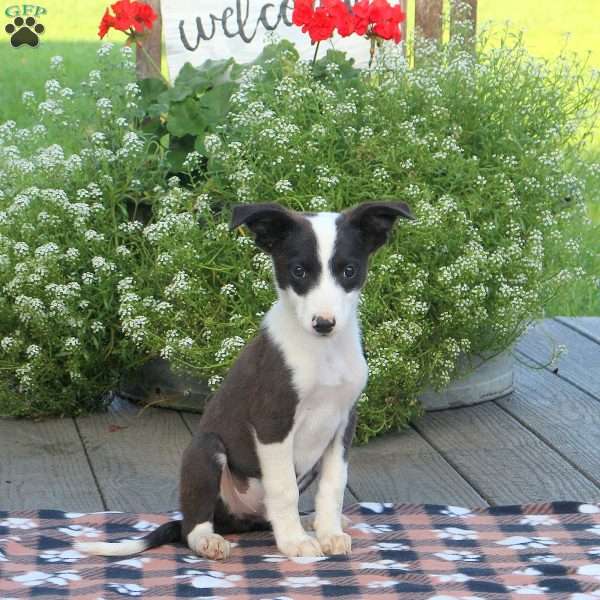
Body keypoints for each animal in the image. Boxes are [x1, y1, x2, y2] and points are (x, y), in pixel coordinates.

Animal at [76, 199, 412, 560]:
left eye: (348, 271)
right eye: (298, 271)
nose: (323, 323)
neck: (323, 352)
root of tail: (237, 520)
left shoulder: (343, 423)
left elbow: (333, 485)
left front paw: (328, 533)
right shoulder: (272, 422)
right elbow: (284, 489)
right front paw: (294, 543)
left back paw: (306, 522)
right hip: (205, 450)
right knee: (192, 525)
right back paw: (210, 540)